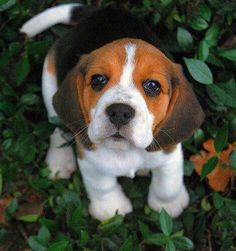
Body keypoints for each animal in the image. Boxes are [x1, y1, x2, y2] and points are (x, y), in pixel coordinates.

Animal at [20, 3, 205, 220]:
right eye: (97, 80)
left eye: (153, 86)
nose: (120, 112)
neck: (125, 150)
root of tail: (100, 11)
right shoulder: (89, 157)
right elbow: (101, 185)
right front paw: (110, 208)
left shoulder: (169, 151)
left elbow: (168, 183)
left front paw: (168, 205)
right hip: (48, 79)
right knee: (57, 125)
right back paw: (59, 160)